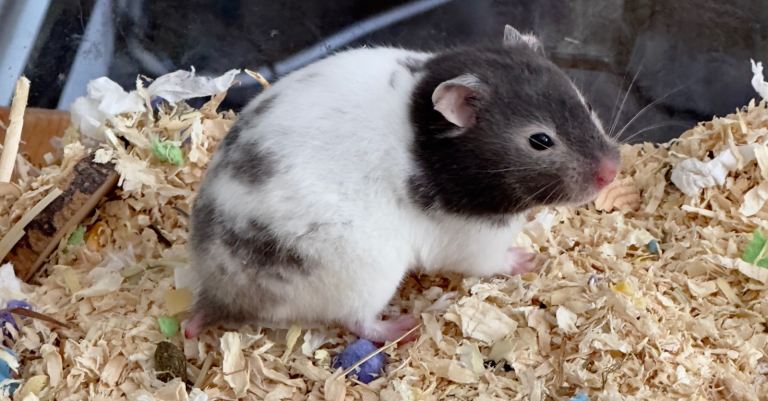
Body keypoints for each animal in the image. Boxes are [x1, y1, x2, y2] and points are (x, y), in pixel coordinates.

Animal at [183, 25, 620, 342]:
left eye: (586, 103)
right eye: (540, 141)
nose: (613, 170)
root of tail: (219, 293)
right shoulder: (472, 240)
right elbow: (493, 261)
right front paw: (529, 259)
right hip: (365, 273)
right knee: (357, 321)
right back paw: (404, 327)